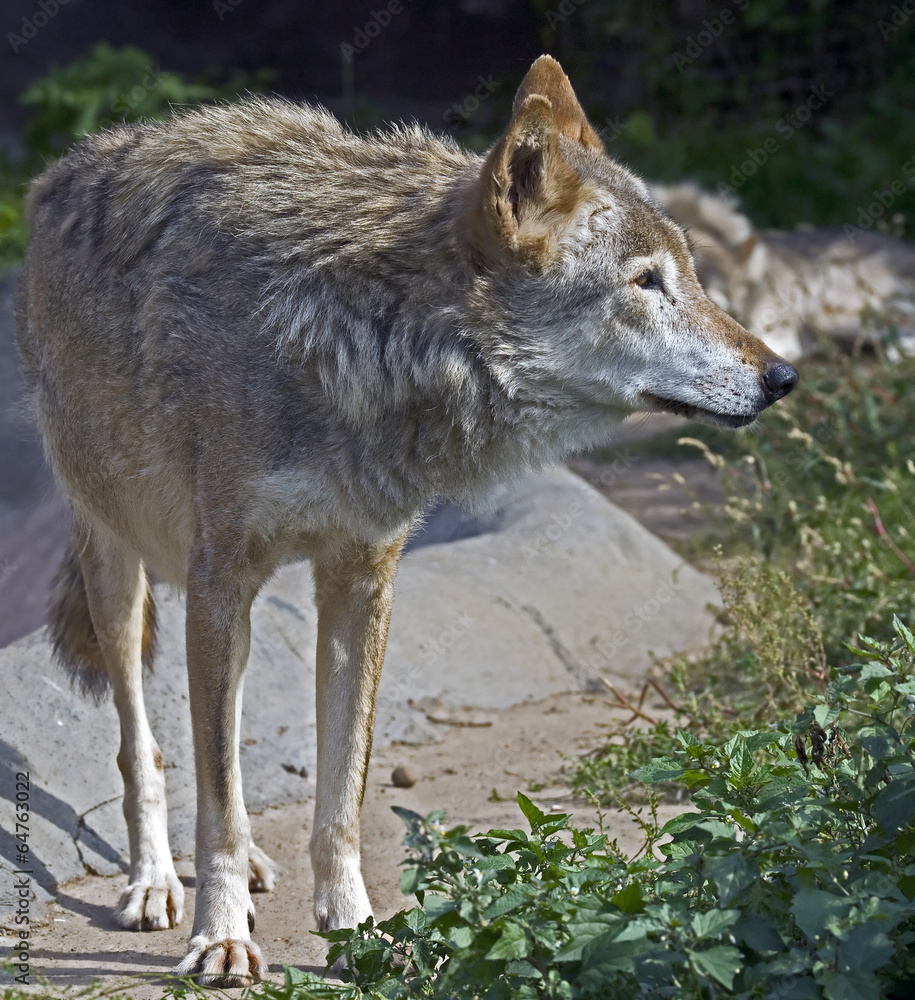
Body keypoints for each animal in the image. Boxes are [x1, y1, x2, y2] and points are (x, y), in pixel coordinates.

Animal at [14, 56, 797, 985]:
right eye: (646, 283)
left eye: (693, 274)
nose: (783, 376)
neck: (360, 334)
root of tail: (63, 169)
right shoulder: (218, 583)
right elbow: (219, 799)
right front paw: (222, 936)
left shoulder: (361, 582)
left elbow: (340, 794)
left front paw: (354, 930)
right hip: (120, 566)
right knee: (148, 747)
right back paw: (156, 883)